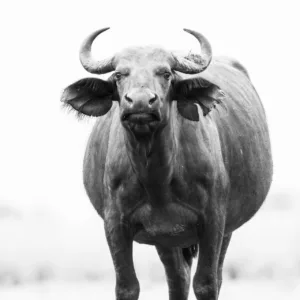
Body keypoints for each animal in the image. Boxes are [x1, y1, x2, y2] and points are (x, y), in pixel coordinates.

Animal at [60, 28, 272, 300]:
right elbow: (127, 286)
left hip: (223, 230)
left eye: (166, 73)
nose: (140, 102)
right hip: (166, 239)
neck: (157, 178)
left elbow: (206, 284)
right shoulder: (115, 223)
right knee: (178, 280)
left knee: (212, 276)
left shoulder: (214, 221)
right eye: (119, 74)